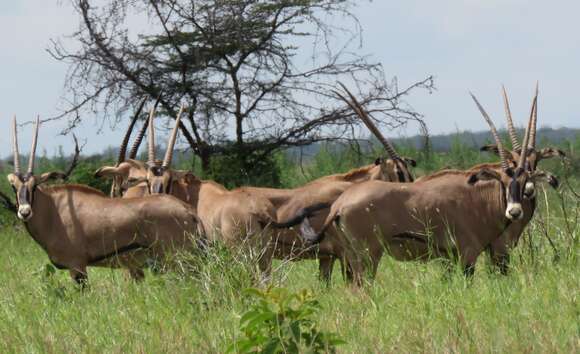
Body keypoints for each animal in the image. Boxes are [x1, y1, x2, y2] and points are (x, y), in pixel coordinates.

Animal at [6, 117, 204, 284]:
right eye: (14, 186)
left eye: (34, 185)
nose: (25, 211)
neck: (54, 210)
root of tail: (187, 210)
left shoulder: (77, 267)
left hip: (176, 258)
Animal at [302, 90, 552, 284]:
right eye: (503, 180)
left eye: (525, 178)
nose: (515, 211)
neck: (478, 197)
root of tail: (339, 205)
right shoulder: (473, 254)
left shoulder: (452, 257)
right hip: (368, 255)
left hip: (352, 257)